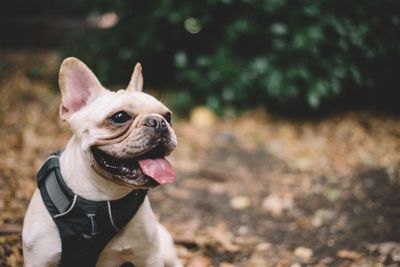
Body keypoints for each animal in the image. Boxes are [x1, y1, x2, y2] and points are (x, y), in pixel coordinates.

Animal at [22, 57, 182, 266]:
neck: (99, 199)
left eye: (168, 116)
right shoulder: (38, 259)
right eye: (120, 117)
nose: (159, 122)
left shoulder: (148, 257)